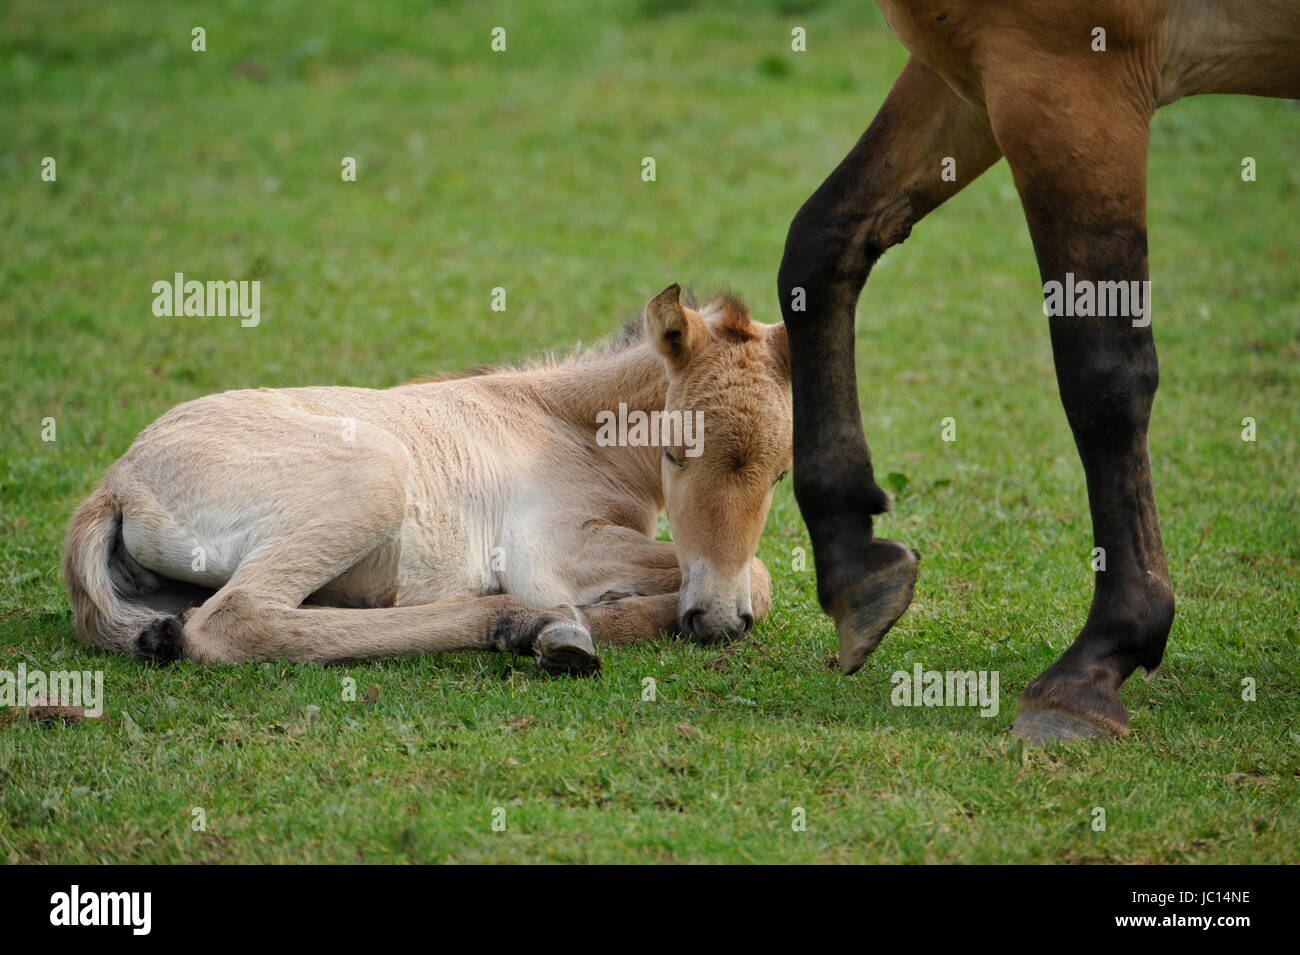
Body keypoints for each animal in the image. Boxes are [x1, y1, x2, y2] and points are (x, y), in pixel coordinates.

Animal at [63, 284, 793, 674]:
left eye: (782, 473)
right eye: (675, 451)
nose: (716, 619)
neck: (562, 421)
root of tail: (117, 483)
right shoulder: (552, 548)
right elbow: (758, 573)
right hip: (375, 476)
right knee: (235, 620)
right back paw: (527, 624)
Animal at [777, 0, 1299, 741]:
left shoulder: (1067, 77)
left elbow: (1103, 369)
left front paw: (1102, 655)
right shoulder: (970, 69)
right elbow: (823, 244)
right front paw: (851, 558)